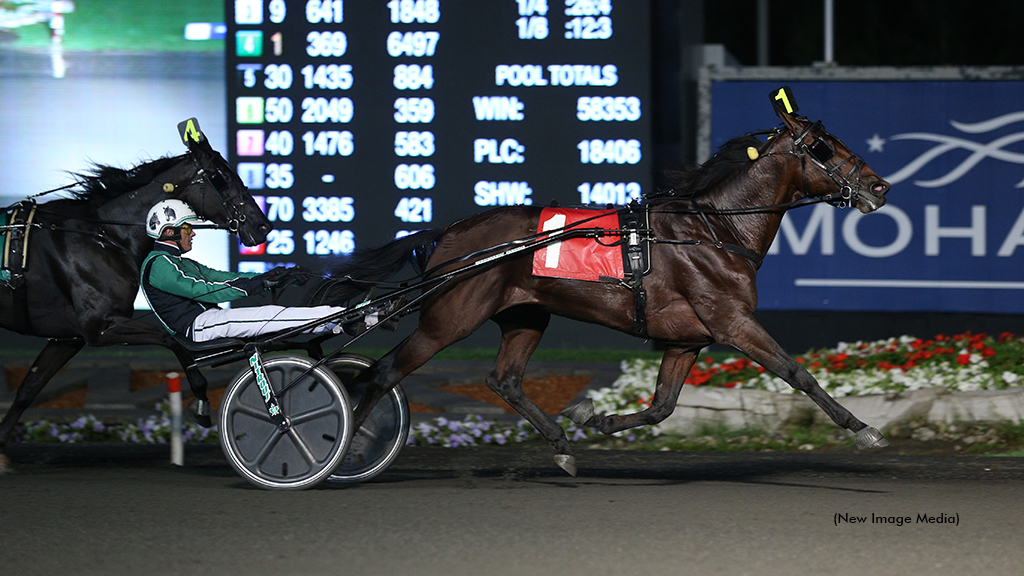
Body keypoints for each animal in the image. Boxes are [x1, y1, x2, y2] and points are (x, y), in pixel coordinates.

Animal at [0, 127, 272, 469]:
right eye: (220, 176)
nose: (263, 226)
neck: (103, 237)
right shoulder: (102, 327)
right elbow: (171, 341)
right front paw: (200, 401)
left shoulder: (68, 339)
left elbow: (28, 389)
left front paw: (1, 450)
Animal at [309, 90, 888, 475]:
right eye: (824, 146)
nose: (880, 186)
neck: (716, 230)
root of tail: (450, 234)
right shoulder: (731, 322)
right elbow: (796, 371)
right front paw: (863, 429)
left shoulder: (687, 339)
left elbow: (662, 406)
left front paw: (593, 418)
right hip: (449, 318)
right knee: (381, 373)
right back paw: (347, 450)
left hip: (525, 313)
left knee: (504, 379)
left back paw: (561, 443)